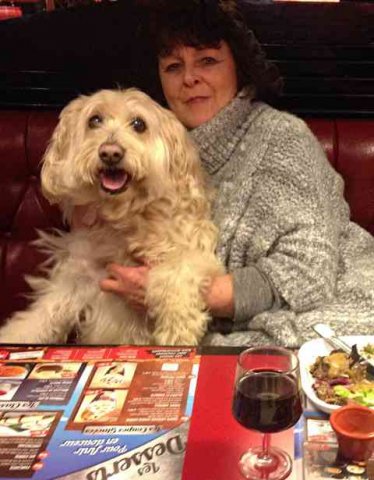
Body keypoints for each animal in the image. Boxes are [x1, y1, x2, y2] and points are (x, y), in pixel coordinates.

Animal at [0, 89, 222, 344]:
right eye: (94, 120)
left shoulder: (191, 252)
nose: (110, 152)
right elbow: (41, 315)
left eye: (139, 124)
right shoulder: (78, 277)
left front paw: (177, 331)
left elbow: (176, 276)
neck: (124, 215)